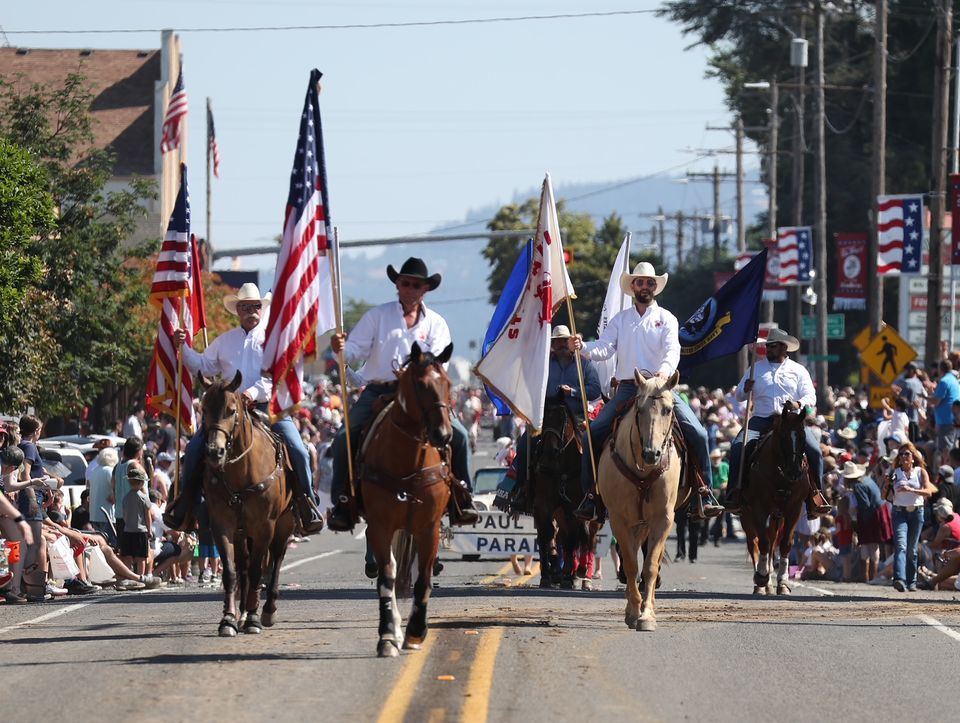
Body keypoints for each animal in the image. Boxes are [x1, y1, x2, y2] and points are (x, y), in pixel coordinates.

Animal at [201, 376, 294, 636]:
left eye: (232, 410)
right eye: (203, 409)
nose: (214, 452)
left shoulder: (265, 526)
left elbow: (256, 571)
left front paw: (253, 618)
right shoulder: (222, 525)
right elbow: (231, 572)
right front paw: (229, 619)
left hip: (284, 525)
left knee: (275, 561)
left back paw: (267, 610)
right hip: (243, 533)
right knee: (244, 565)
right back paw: (241, 613)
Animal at [360, 342, 454, 660]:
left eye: (448, 384)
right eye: (422, 385)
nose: (443, 434)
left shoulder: (429, 528)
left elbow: (423, 579)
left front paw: (415, 631)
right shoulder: (380, 526)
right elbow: (386, 577)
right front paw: (388, 635)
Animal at [532, 398, 584, 592]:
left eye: (563, 420)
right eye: (543, 418)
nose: (548, 452)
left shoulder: (574, 508)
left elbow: (571, 539)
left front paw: (568, 577)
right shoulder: (543, 504)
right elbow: (547, 534)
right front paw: (551, 572)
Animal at [600, 374, 684, 632]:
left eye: (668, 409)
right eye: (640, 409)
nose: (651, 454)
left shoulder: (663, 519)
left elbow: (650, 566)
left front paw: (647, 615)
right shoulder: (619, 519)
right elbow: (630, 565)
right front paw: (635, 611)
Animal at [740, 402, 808, 592]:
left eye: (803, 436)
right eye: (783, 436)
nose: (795, 472)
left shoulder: (794, 509)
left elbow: (785, 543)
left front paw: (783, 582)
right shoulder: (759, 508)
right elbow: (762, 542)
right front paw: (762, 576)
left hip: (777, 517)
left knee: (771, 542)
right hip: (747, 515)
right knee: (754, 543)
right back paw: (760, 584)